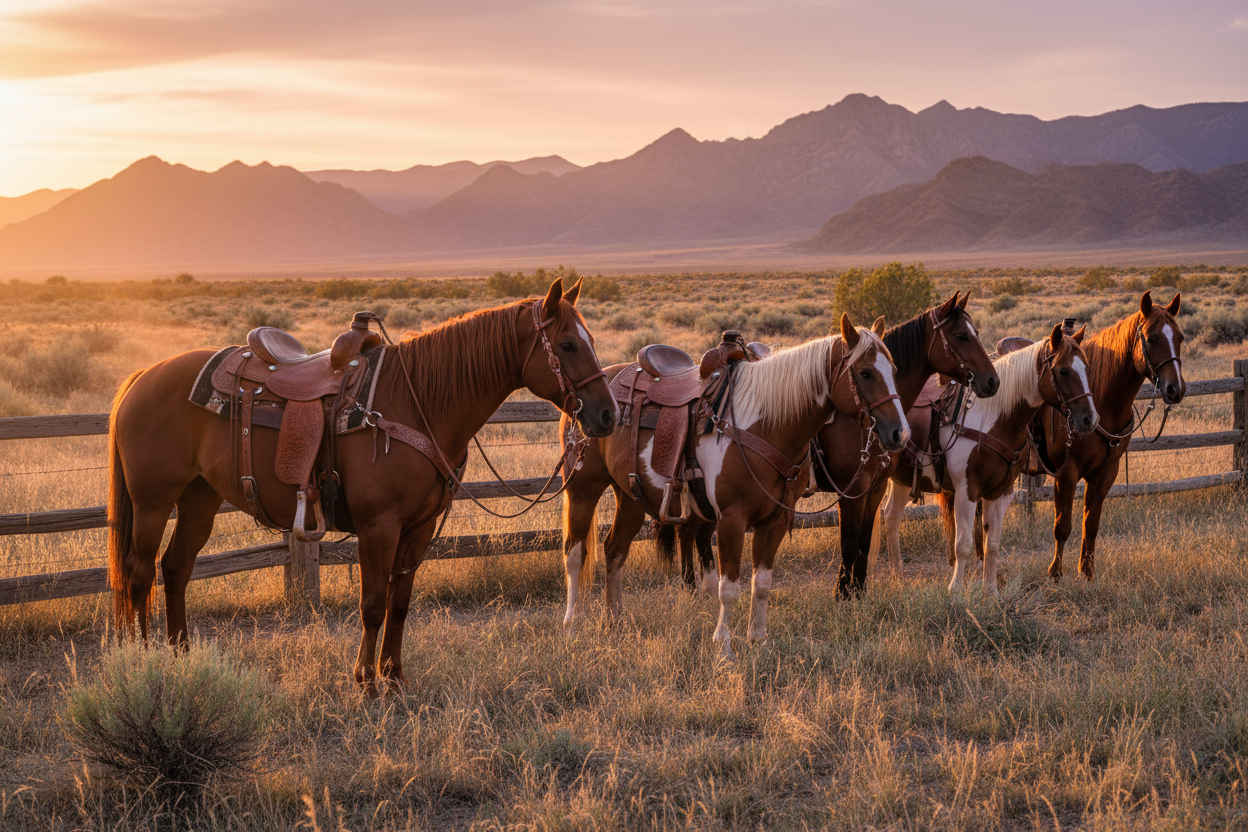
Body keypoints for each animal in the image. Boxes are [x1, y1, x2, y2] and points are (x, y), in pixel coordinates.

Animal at [107, 278, 616, 696]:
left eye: (588, 340)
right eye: (568, 344)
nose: (609, 414)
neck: (419, 402)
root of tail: (141, 377)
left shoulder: (419, 528)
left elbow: (401, 603)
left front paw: (395, 677)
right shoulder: (379, 525)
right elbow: (372, 604)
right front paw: (366, 682)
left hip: (199, 499)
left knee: (176, 568)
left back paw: (181, 655)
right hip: (153, 502)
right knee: (139, 573)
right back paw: (142, 660)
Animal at [560, 314, 910, 658]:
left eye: (893, 371)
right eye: (865, 372)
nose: (900, 434)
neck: (766, 426)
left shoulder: (775, 521)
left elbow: (762, 583)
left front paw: (758, 639)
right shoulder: (731, 520)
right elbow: (728, 588)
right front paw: (724, 645)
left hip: (631, 498)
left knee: (614, 551)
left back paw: (615, 622)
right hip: (584, 491)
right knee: (575, 554)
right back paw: (573, 624)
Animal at [664, 293, 1000, 600]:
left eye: (892, 370)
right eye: (961, 335)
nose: (992, 382)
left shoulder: (875, 487)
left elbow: (863, 542)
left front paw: (859, 594)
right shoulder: (851, 490)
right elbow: (849, 544)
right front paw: (843, 596)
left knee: (691, 532)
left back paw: (694, 587)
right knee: (689, 532)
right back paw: (692, 588)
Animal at [877, 323, 1099, 595]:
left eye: (1086, 367)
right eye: (1064, 371)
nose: (1090, 419)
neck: (993, 420)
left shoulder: (1000, 492)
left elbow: (991, 543)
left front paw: (990, 589)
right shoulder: (967, 491)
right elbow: (963, 544)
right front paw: (955, 590)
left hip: (901, 480)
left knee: (891, 516)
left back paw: (897, 574)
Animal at [1040, 291, 1185, 581]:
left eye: (1180, 338)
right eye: (1152, 338)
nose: (1175, 389)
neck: (1099, 400)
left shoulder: (1107, 471)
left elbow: (1091, 523)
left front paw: (1087, 572)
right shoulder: (1066, 473)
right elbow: (1063, 525)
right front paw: (1055, 573)